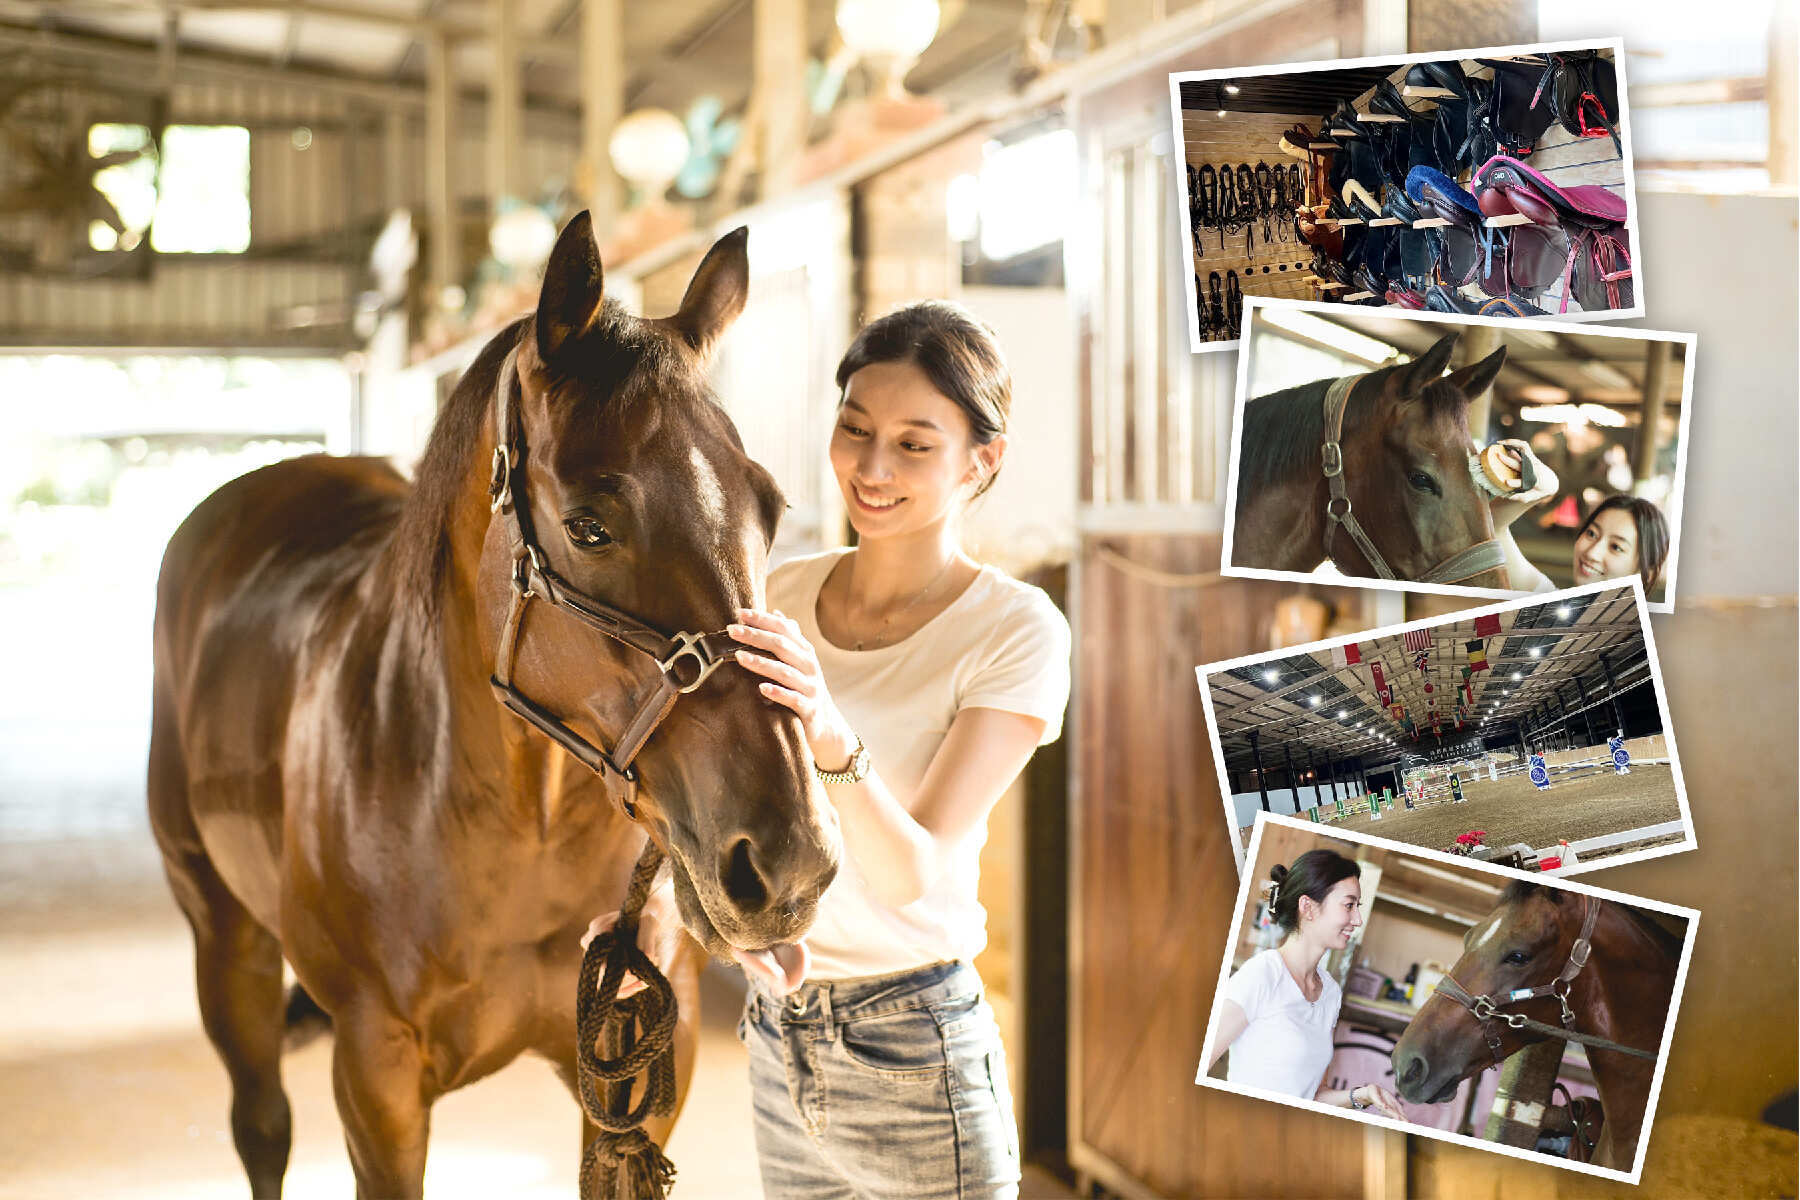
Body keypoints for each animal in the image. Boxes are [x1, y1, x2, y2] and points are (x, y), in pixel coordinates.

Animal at [145, 215, 835, 1200]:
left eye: (770, 509)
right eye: (589, 525)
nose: (789, 864)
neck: (510, 824)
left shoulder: (627, 1075)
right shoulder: (377, 1083)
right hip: (222, 934)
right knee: (263, 1127)